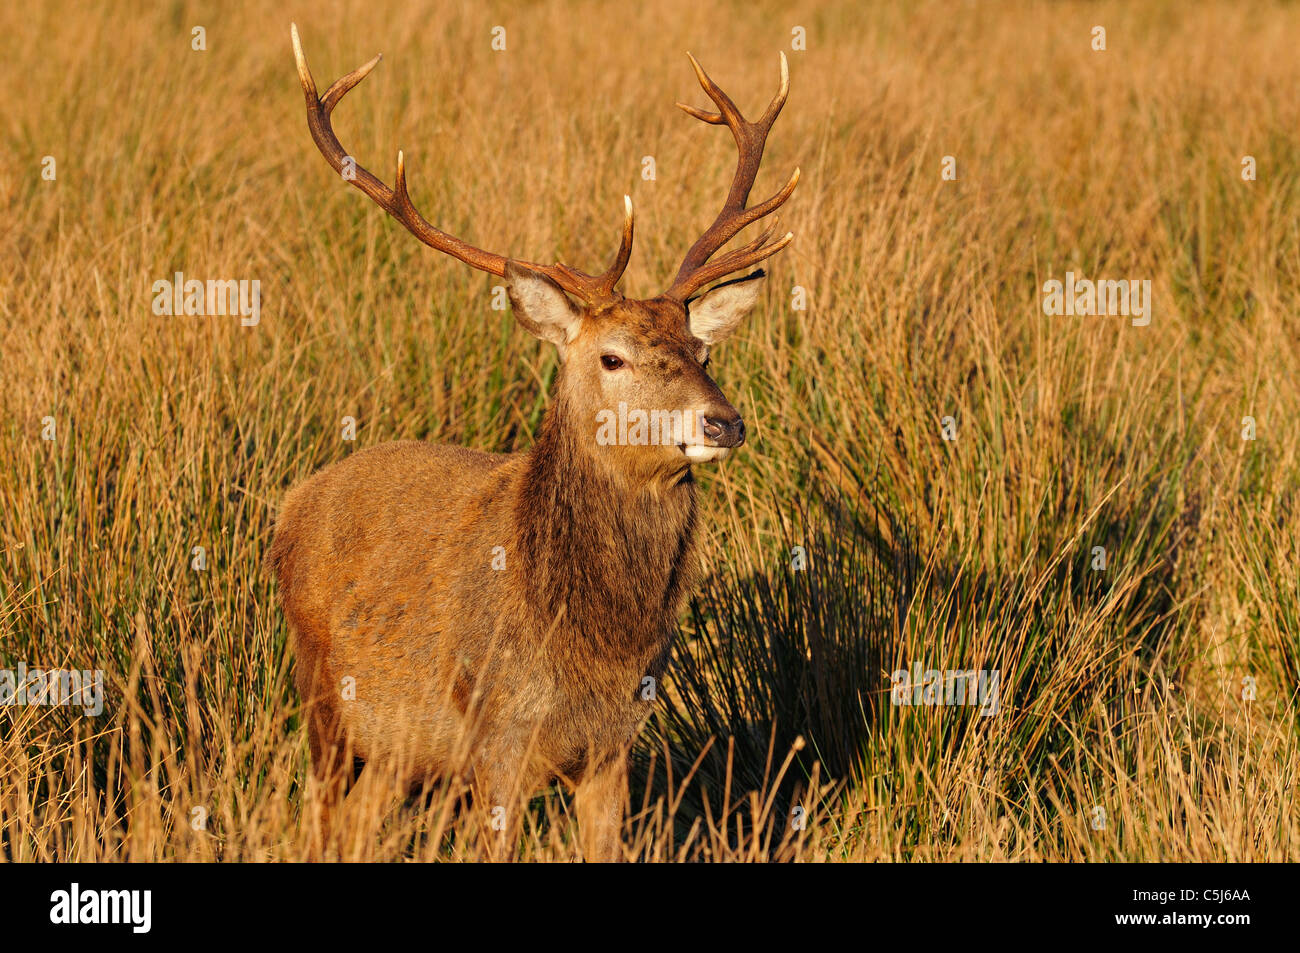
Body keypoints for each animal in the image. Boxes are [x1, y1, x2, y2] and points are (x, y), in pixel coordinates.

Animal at [272, 23, 798, 861]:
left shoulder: (618, 744)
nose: (723, 422)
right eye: (611, 356)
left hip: (395, 746)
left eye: (701, 350)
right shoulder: (496, 737)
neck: (594, 648)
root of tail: (292, 503)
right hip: (323, 695)